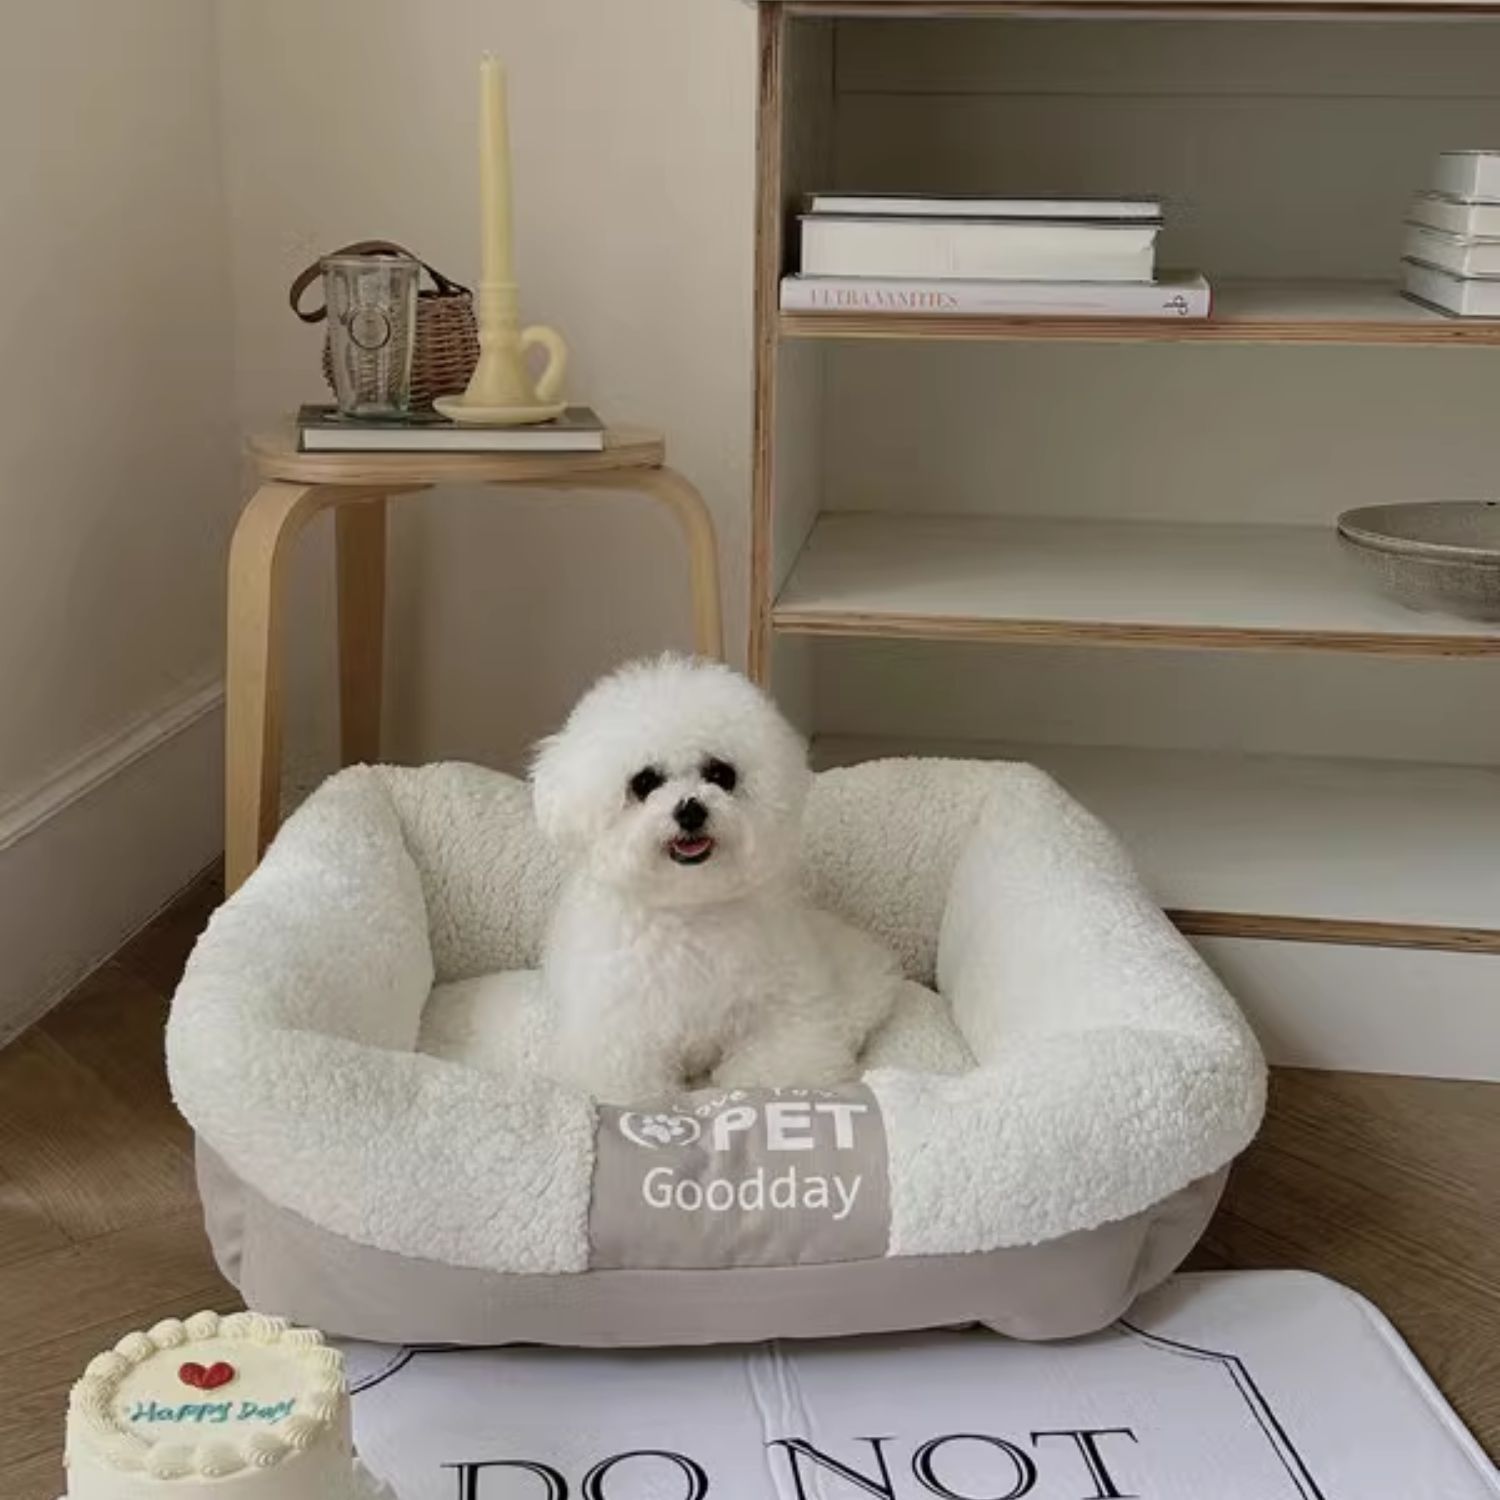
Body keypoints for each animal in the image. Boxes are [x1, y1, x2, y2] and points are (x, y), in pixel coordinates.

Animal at [530, 655, 900, 1105]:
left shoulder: (782, 1012)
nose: (690, 810)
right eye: (644, 782)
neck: (690, 910)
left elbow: (779, 1061)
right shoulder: (616, 1032)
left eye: (721, 774)